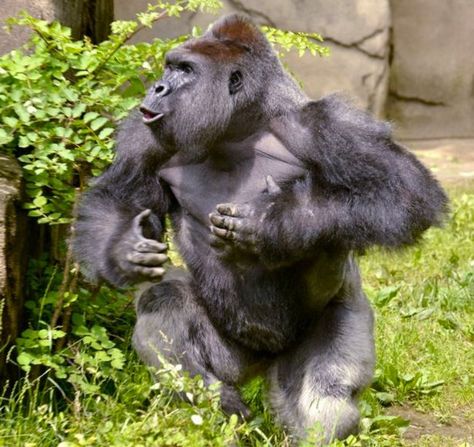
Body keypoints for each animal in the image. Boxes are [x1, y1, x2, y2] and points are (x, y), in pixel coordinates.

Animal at [73, 14, 448, 444]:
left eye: (185, 70)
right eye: (169, 67)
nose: (157, 87)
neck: (239, 127)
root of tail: (263, 364)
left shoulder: (327, 125)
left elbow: (404, 191)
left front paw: (275, 222)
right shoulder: (145, 135)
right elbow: (119, 196)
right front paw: (124, 251)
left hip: (334, 328)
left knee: (323, 404)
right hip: (233, 360)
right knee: (165, 302)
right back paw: (216, 400)